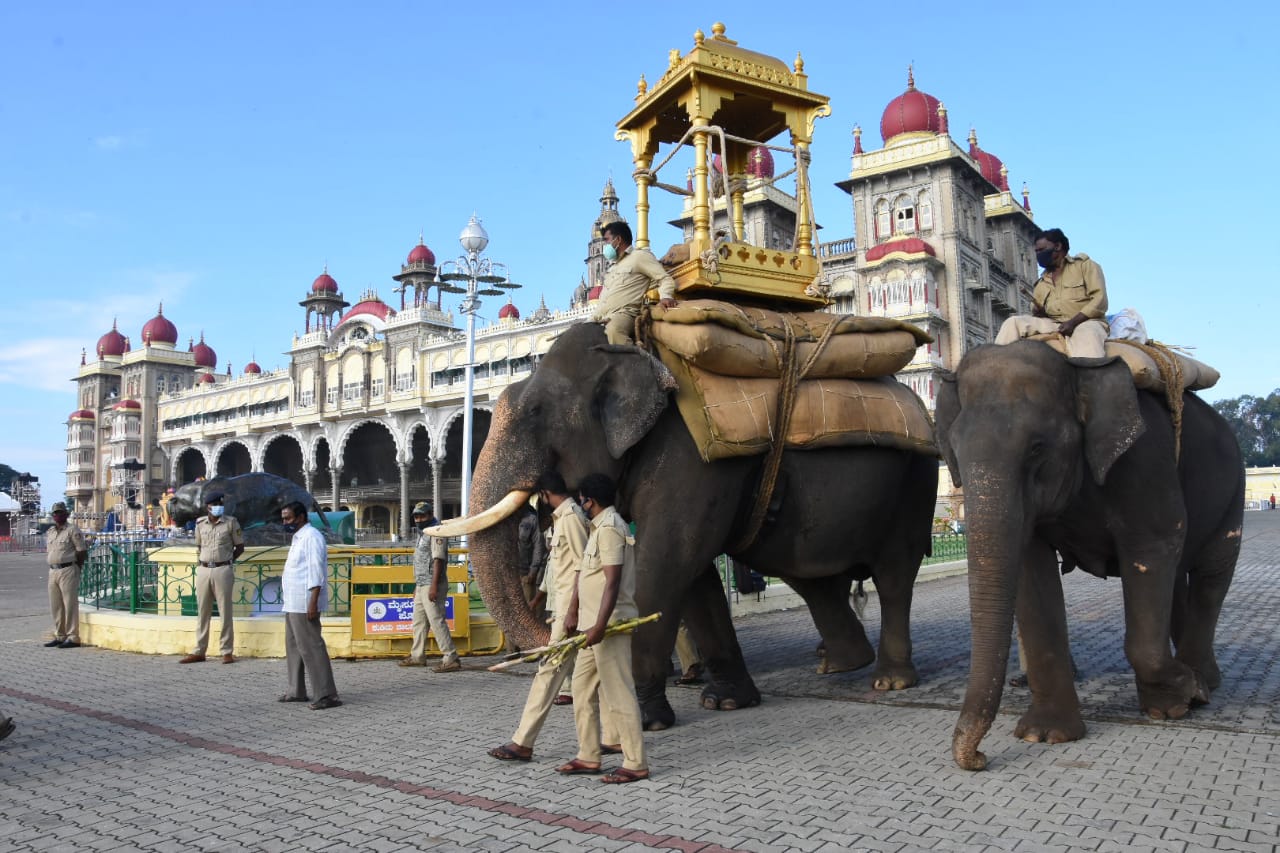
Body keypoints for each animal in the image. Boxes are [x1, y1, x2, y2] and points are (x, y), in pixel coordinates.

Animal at [445, 322, 936, 727]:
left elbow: (668, 560)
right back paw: (843, 664)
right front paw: (727, 702)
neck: (634, 349)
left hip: (915, 482)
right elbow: (694, 574)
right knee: (810, 577)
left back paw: (888, 680)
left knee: (894, 575)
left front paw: (643, 718)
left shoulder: (691, 457)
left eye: (535, 412)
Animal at [931, 340, 1239, 768]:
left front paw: (1184, 697)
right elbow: (1032, 573)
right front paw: (1045, 736)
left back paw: (1204, 683)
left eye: (1037, 448)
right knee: (1179, 579)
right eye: (953, 451)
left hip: (1233, 488)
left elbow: (1152, 547)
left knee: (1212, 575)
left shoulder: (1145, 461)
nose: (978, 758)